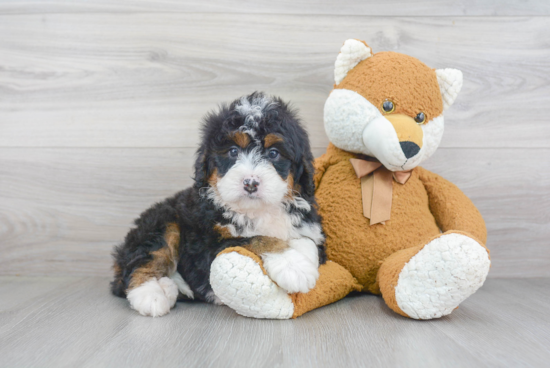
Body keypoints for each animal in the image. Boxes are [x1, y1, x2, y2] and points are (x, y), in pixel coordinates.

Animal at [112, 91, 328, 316]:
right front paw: (292, 264)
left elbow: (307, 240)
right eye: (233, 151)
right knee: (143, 259)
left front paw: (305, 260)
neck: (256, 211)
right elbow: (255, 239)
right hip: (162, 220)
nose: (250, 183)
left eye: (273, 153)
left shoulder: (310, 225)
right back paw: (151, 294)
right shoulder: (205, 247)